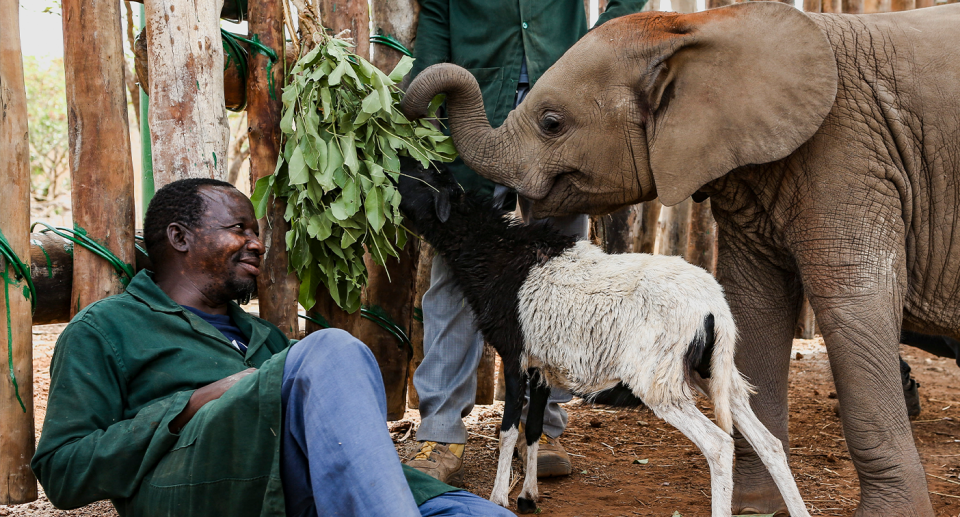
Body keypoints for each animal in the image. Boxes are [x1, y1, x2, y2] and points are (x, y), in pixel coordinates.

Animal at [398, 161, 808, 516]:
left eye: (421, 179)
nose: (399, 161)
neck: (495, 253)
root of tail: (713, 307)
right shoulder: (543, 366)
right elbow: (533, 430)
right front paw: (529, 497)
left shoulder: (516, 358)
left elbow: (508, 431)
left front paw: (500, 499)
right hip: (715, 372)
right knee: (770, 444)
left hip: (659, 380)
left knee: (720, 446)